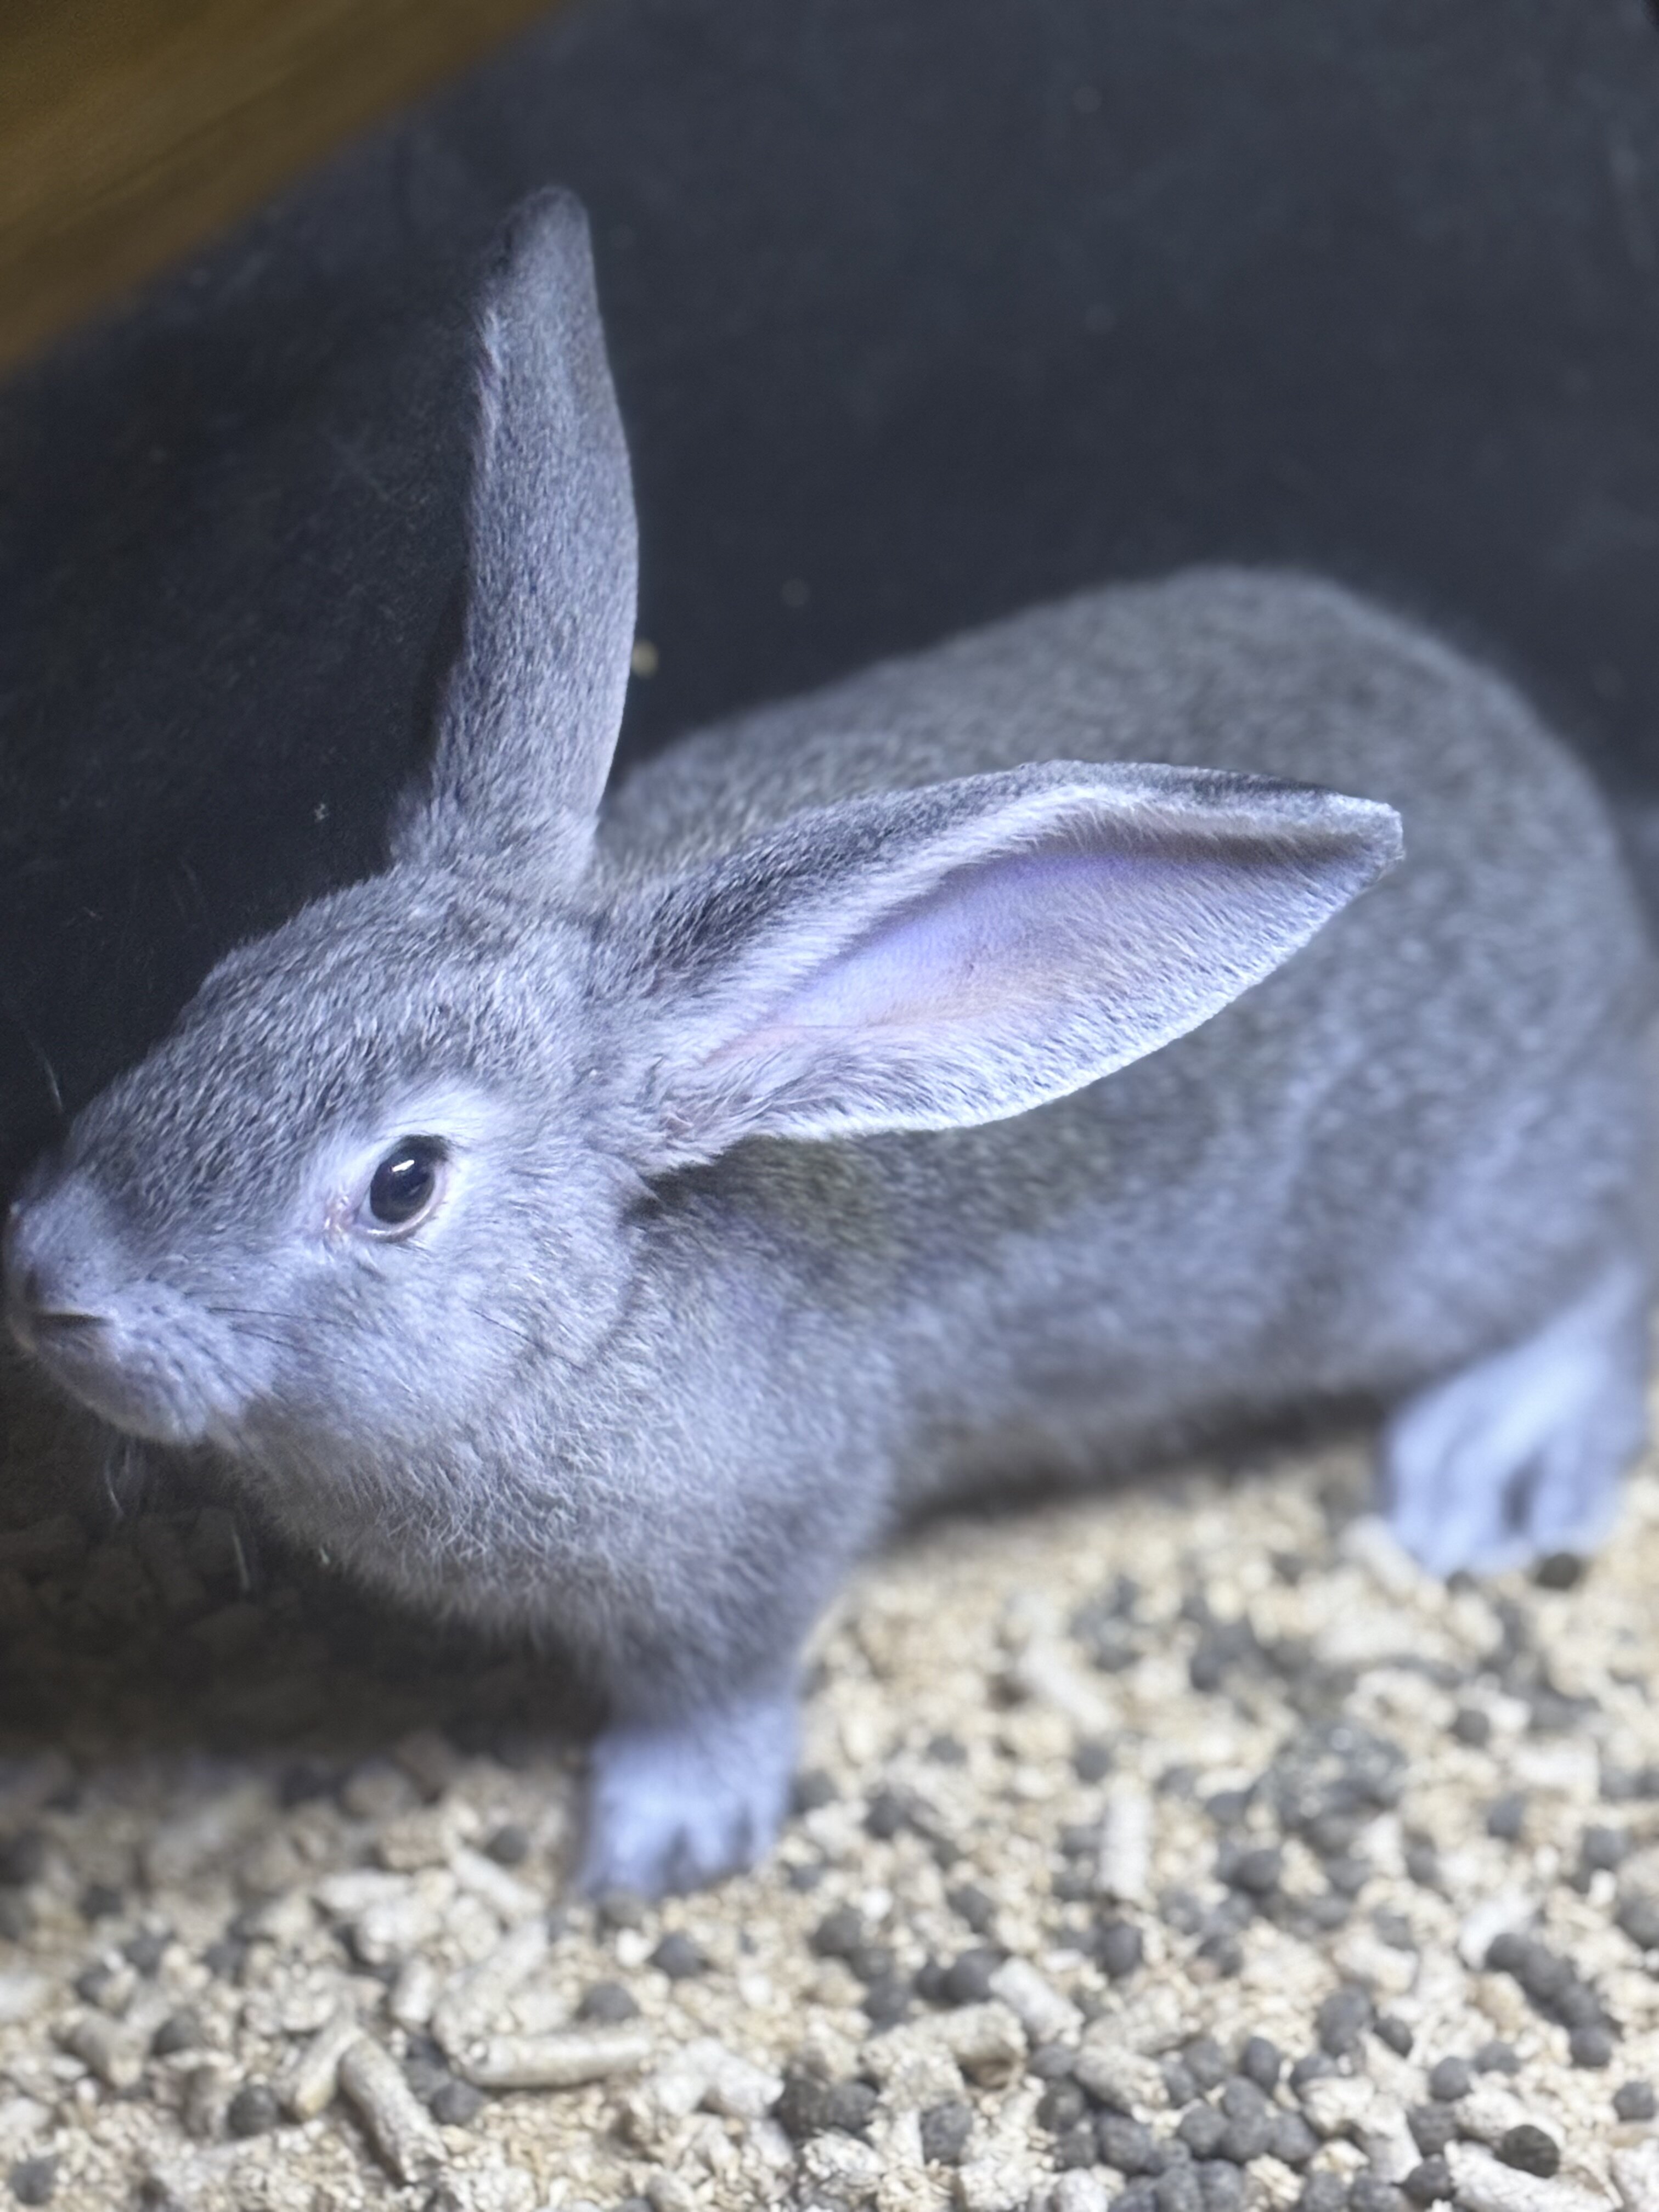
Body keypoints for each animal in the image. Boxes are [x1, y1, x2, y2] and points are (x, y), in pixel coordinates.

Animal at [5, 190, 1654, 1896]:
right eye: (221, 982)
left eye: (402, 1185)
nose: (55, 1284)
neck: (586, 1317)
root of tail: (1587, 845)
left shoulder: (754, 1556)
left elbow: (719, 1683)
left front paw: (660, 1838)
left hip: (1465, 1223)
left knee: (1604, 1265)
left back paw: (1490, 1466)